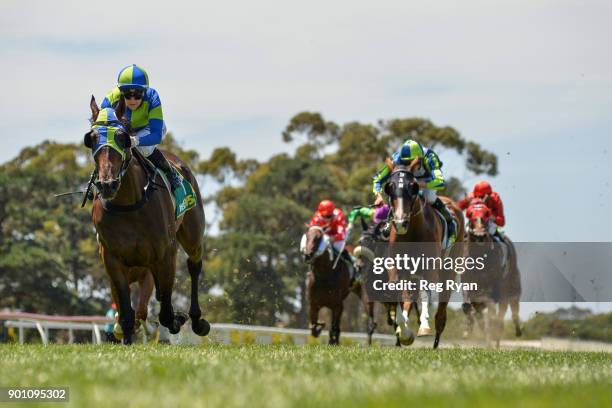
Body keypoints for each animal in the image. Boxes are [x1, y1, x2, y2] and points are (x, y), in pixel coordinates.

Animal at [83, 97, 210, 342]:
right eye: (91, 139)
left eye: (122, 138)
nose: (107, 184)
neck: (128, 206)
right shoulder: (113, 259)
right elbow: (127, 314)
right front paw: (126, 339)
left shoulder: (165, 253)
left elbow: (165, 312)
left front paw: (177, 319)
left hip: (192, 233)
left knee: (194, 265)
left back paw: (197, 320)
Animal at [384, 159, 466, 348]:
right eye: (389, 187)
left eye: (413, 186)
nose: (400, 223)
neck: (412, 231)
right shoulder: (397, 266)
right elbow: (397, 291)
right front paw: (403, 331)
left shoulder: (430, 268)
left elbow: (425, 294)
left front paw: (423, 327)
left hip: (449, 269)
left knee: (441, 313)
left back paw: (435, 342)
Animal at [464, 199, 520, 346]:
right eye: (470, 213)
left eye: (486, 213)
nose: (479, 234)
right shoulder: (470, 288)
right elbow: (473, 309)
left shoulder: (493, 291)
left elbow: (492, 315)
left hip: (509, 285)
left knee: (504, 311)